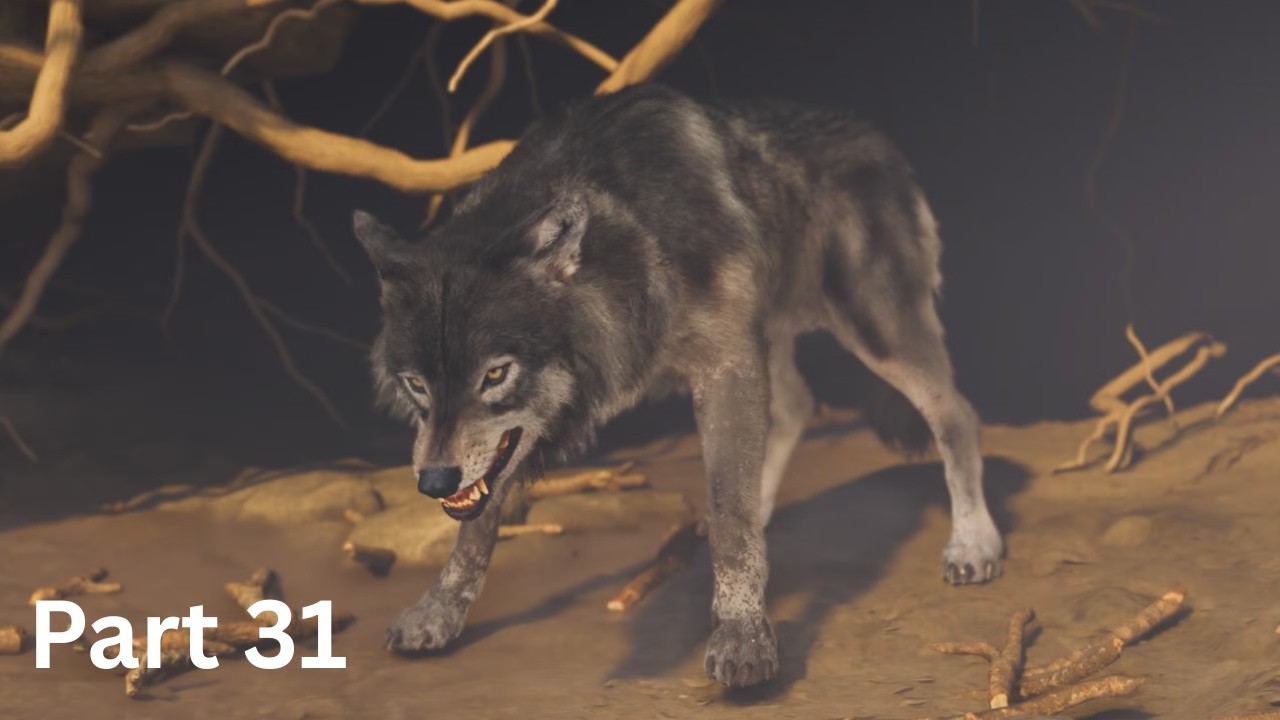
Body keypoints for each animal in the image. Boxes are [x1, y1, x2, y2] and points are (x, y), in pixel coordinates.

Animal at [351, 84, 1003, 687]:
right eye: (416, 384)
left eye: (494, 373)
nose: (433, 483)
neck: (633, 252)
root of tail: (880, 139)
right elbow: (476, 527)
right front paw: (438, 613)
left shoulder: (725, 364)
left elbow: (729, 511)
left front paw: (742, 636)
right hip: (773, 335)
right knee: (796, 406)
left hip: (872, 330)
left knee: (957, 413)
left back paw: (974, 543)